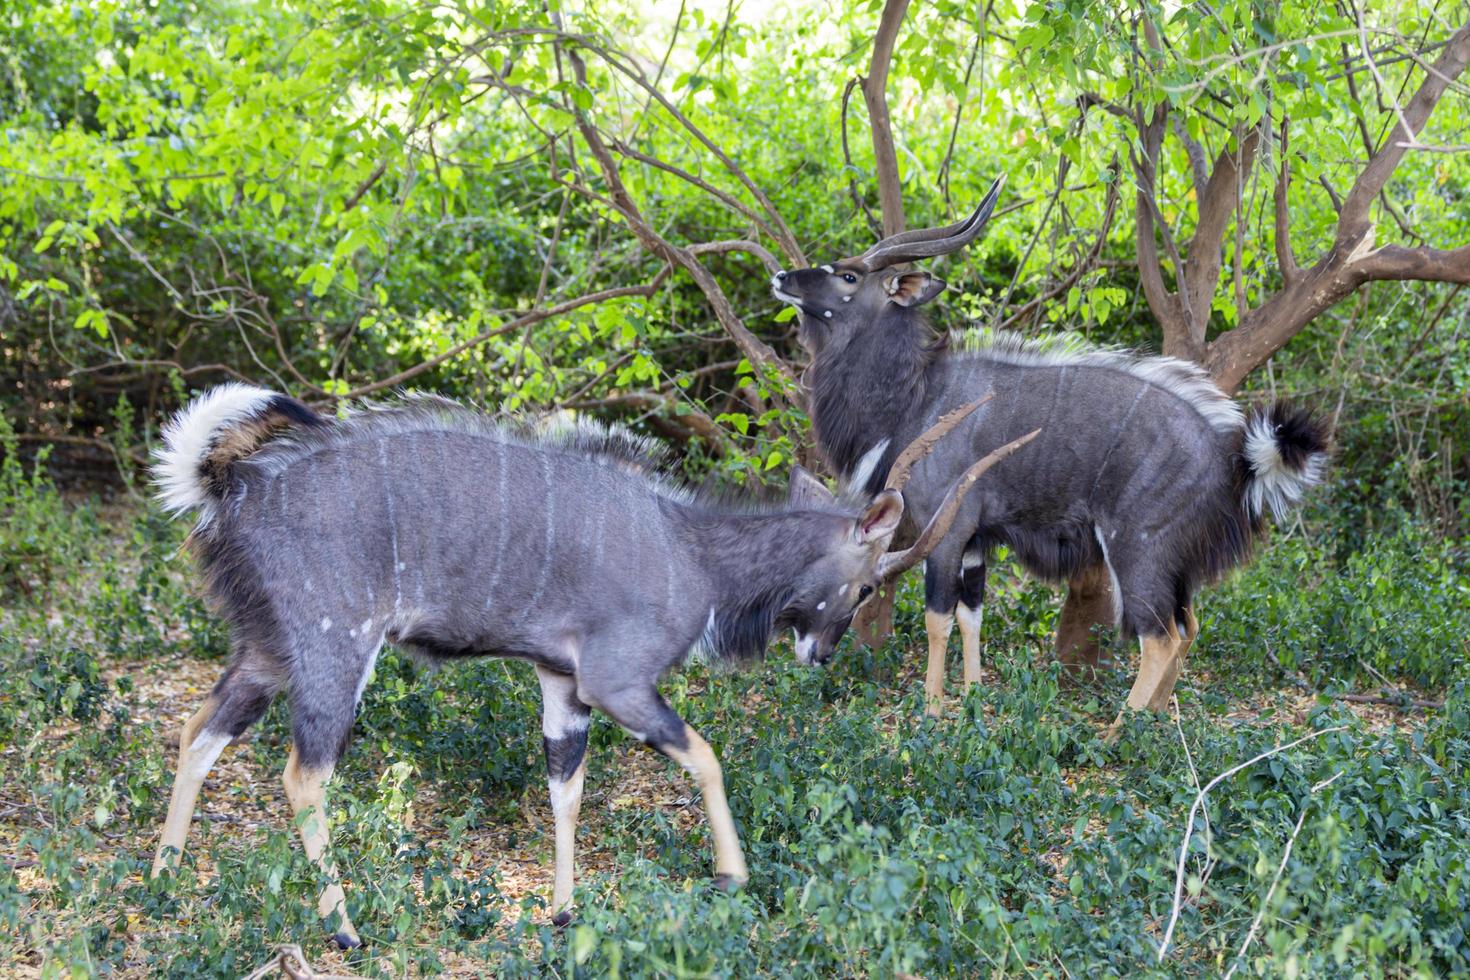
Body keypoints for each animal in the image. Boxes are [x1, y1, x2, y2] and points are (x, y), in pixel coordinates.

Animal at [149, 384, 1034, 952]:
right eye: (868, 582)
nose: (822, 651)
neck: (694, 555)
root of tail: (229, 489)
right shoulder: (618, 682)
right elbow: (705, 757)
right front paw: (732, 879)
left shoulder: (563, 683)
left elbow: (564, 789)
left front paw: (563, 914)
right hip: (335, 648)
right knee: (303, 774)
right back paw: (345, 928)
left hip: (267, 653)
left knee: (198, 730)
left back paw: (162, 880)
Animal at [782, 176, 1334, 728]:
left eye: (848, 275)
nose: (783, 276)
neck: (919, 398)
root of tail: (1232, 454)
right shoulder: (978, 538)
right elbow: (970, 614)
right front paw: (973, 701)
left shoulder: (948, 528)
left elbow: (937, 617)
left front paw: (933, 712)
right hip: (1174, 562)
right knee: (1188, 626)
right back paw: (1153, 723)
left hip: (1138, 547)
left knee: (1160, 637)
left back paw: (1119, 733)